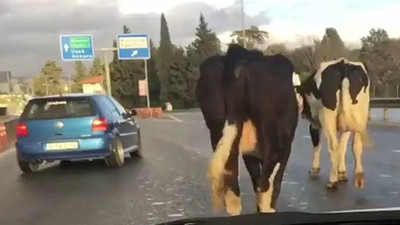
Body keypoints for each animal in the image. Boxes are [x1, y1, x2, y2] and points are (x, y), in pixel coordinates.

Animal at [195, 44, 298, 214]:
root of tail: (243, 55)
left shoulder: (250, 155)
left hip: (218, 130)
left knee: (233, 192)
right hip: (277, 144)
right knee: (267, 190)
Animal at [296, 57, 372, 190]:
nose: (303, 114)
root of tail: (343, 64)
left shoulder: (315, 124)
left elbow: (317, 145)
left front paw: (314, 169)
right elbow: (343, 147)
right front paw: (342, 173)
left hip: (327, 116)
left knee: (333, 146)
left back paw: (332, 181)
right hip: (359, 115)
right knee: (356, 145)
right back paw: (358, 177)